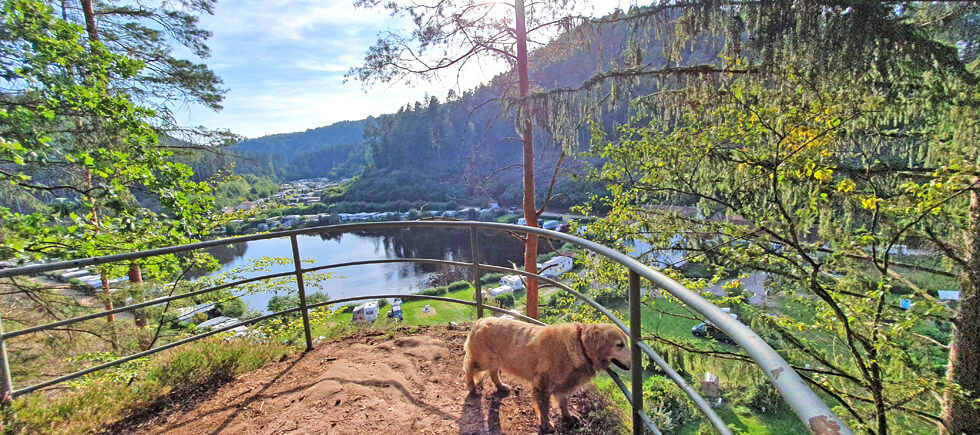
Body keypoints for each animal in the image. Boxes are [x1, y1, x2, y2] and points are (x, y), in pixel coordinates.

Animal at [464, 316, 632, 432]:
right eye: (619, 345)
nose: (633, 363)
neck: (580, 345)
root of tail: (480, 321)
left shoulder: (563, 384)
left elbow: (563, 402)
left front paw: (568, 415)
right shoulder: (543, 385)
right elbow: (544, 407)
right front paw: (546, 423)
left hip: (497, 360)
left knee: (493, 372)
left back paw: (500, 385)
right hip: (482, 360)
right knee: (468, 368)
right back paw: (471, 386)